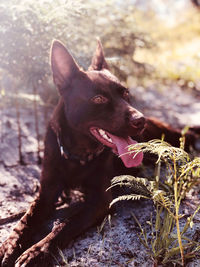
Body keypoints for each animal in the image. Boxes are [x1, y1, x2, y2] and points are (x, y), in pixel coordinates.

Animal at [0, 39, 199, 267]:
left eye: (126, 93)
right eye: (98, 99)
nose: (140, 120)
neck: (78, 155)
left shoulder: (99, 201)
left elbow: (65, 225)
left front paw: (36, 251)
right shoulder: (46, 193)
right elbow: (26, 220)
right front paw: (10, 245)